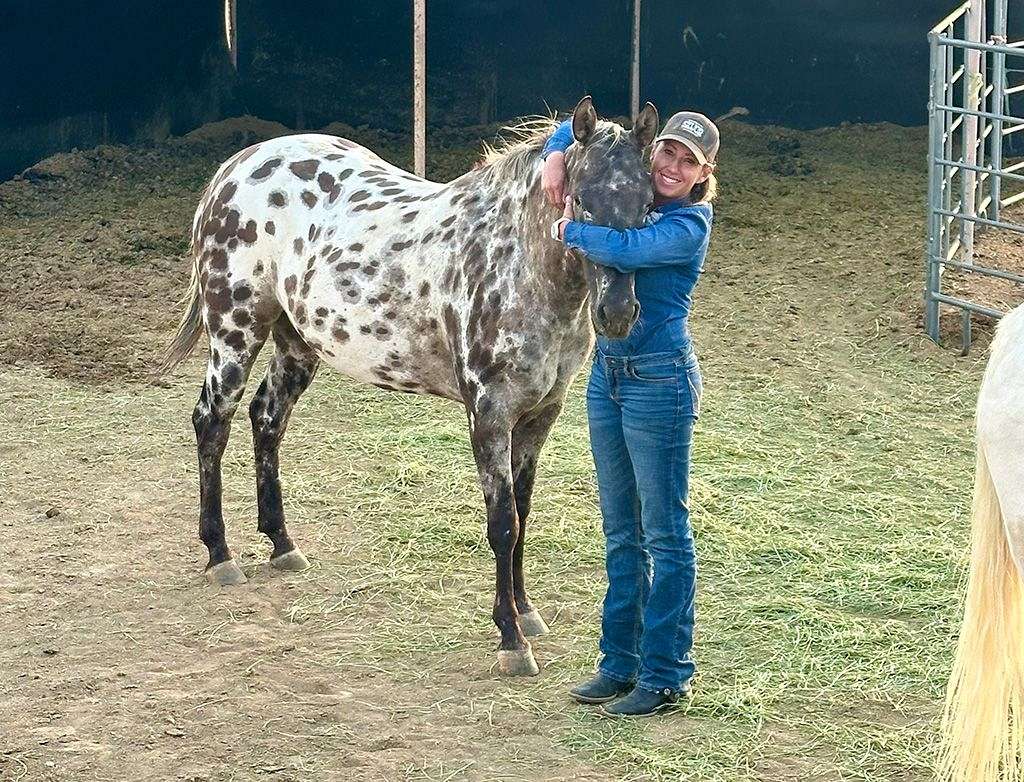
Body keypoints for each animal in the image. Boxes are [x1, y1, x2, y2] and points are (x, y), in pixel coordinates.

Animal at [159, 97, 661, 676]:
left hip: (297, 343)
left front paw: (526, 612)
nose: (618, 313)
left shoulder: (539, 416)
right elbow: (502, 524)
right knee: (212, 423)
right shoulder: (488, 414)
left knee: (266, 420)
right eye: (581, 200)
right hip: (235, 331)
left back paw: (282, 544)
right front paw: (511, 638)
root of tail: (235, 168)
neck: (517, 263)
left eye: (649, 202)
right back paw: (220, 555)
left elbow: (523, 515)